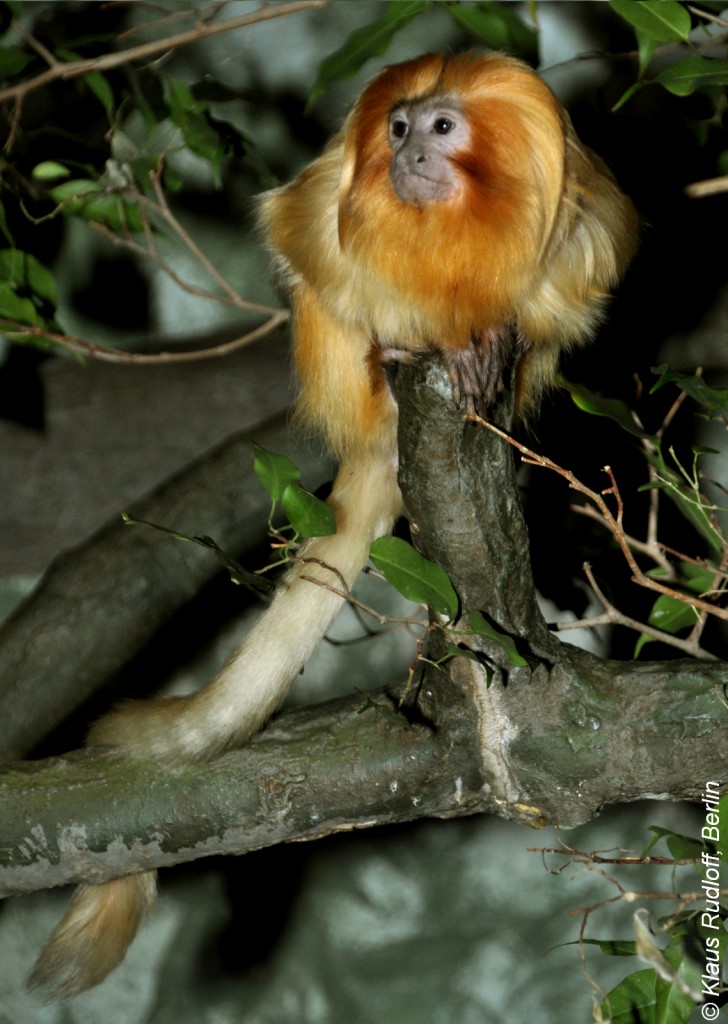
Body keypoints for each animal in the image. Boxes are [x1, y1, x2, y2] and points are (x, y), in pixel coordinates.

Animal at [28, 51, 638, 995]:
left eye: (443, 129)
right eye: (398, 127)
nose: (408, 155)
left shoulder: (579, 226)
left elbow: (564, 291)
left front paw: (487, 345)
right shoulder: (329, 212)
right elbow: (305, 236)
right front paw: (408, 342)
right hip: (334, 376)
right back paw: (396, 370)